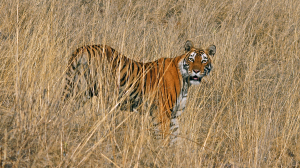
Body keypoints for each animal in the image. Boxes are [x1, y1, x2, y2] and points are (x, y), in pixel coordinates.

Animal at [62, 40, 216, 144]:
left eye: (203, 61)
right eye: (191, 59)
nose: (196, 71)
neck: (185, 81)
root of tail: (85, 48)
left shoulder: (174, 115)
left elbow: (175, 138)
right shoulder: (162, 112)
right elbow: (163, 137)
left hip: (79, 90)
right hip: (105, 94)